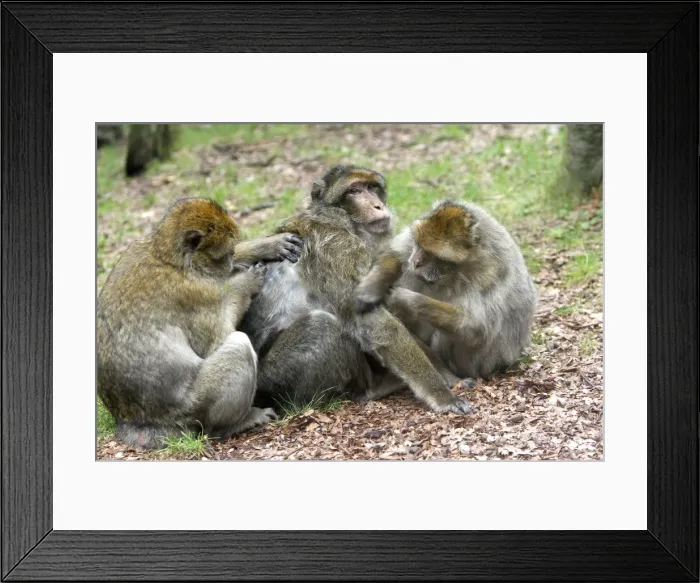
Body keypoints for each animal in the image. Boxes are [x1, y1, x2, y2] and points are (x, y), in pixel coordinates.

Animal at [97, 197, 304, 449]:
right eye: (224, 254)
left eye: (231, 251)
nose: (229, 262)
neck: (172, 260)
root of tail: (133, 421)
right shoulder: (195, 293)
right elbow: (218, 338)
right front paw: (246, 282)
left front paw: (267, 245)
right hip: (193, 407)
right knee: (238, 347)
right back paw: (236, 423)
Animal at [240, 166, 473, 415]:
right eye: (354, 191)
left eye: (372, 187)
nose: (377, 206)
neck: (342, 219)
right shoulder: (336, 245)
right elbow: (375, 322)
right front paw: (441, 394)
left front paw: (450, 378)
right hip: (276, 379)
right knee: (321, 325)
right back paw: (372, 390)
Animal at [354, 200, 538, 381]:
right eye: (419, 245)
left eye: (433, 255)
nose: (416, 261)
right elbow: (395, 254)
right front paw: (372, 287)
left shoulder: (489, 274)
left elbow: (476, 329)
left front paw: (404, 299)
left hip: (476, 365)